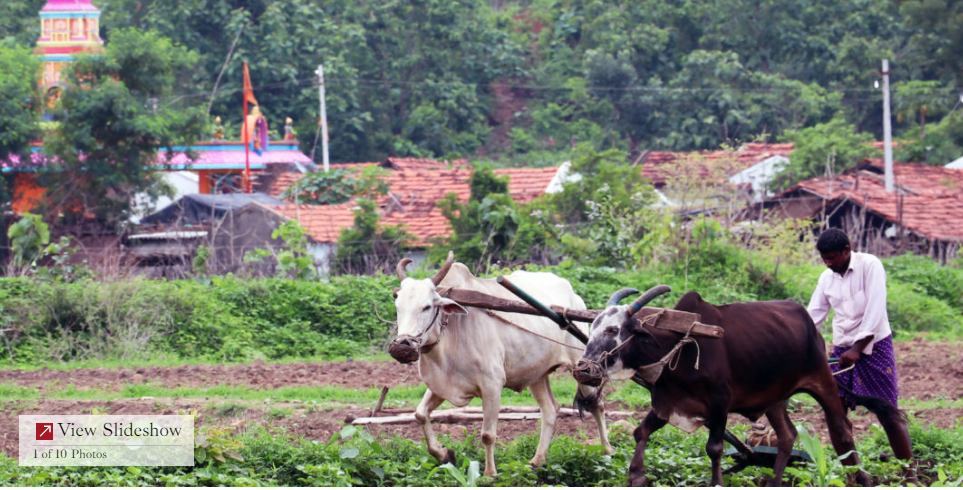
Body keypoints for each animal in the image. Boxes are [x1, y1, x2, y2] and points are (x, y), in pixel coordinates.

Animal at [389, 252, 613, 476]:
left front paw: (490, 474)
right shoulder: (441, 386)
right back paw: (537, 460)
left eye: (427, 306)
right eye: (398, 307)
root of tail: (575, 296)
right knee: (550, 409)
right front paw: (445, 454)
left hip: (582, 367)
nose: (402, 346)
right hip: (537, 374)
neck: (452, 329)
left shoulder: (492, 386)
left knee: (597, 404)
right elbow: (420, 414)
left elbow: (488, 435)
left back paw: (607, 452)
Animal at [575, 287, 913, 487]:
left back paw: (862, 477)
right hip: (775, 398)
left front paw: (716, 482)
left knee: (842, 431)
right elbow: (640, 432)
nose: (583, 369)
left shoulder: (719, 405)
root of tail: (805, 318)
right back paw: (774, 482)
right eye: (593, 325)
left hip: (823, 381)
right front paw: (636, 475)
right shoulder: (666, 404)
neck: (680, 345)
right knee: (788, 435)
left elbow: (714, 449)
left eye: (614, 330)